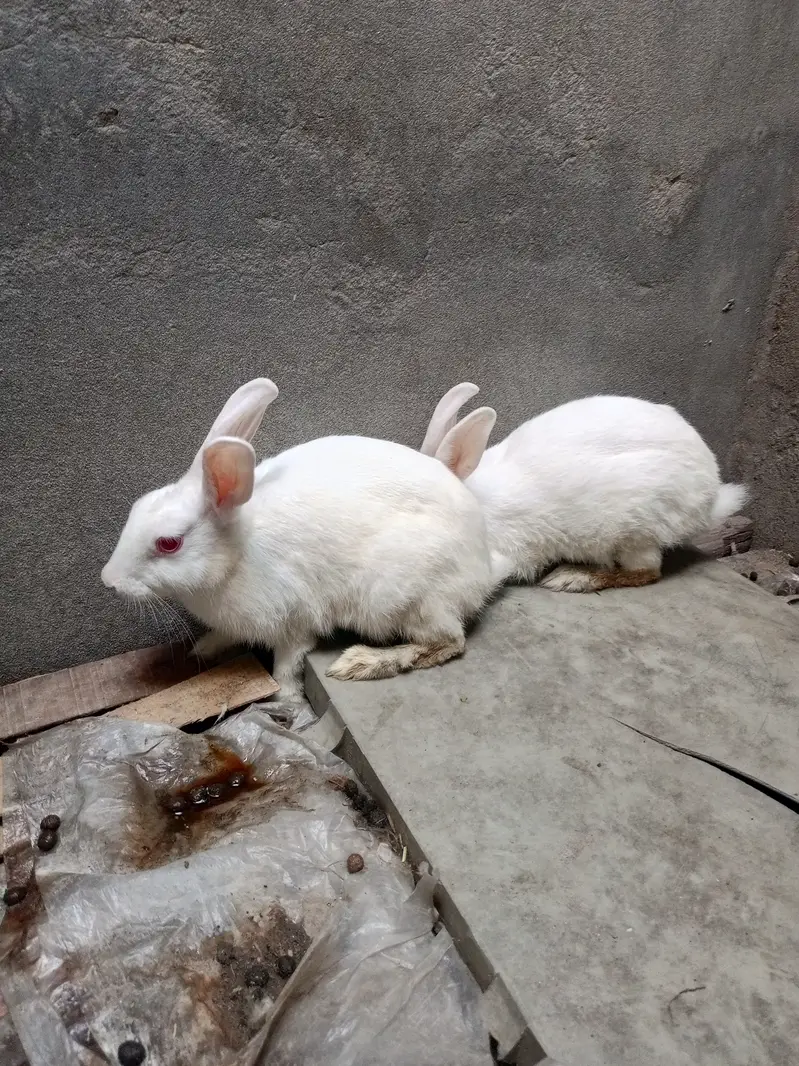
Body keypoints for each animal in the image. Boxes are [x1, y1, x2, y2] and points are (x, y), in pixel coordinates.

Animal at [101, 378, 496, 708]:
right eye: (136, 508)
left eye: (169, 543)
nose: (109, 580)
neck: (236, 553)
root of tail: (482, 569)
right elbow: (224, 635)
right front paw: (203, 649)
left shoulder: (294, 620)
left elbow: (287, 665)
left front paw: (287, 702)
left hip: (406, 599)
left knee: (448, 642)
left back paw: (359, 663)